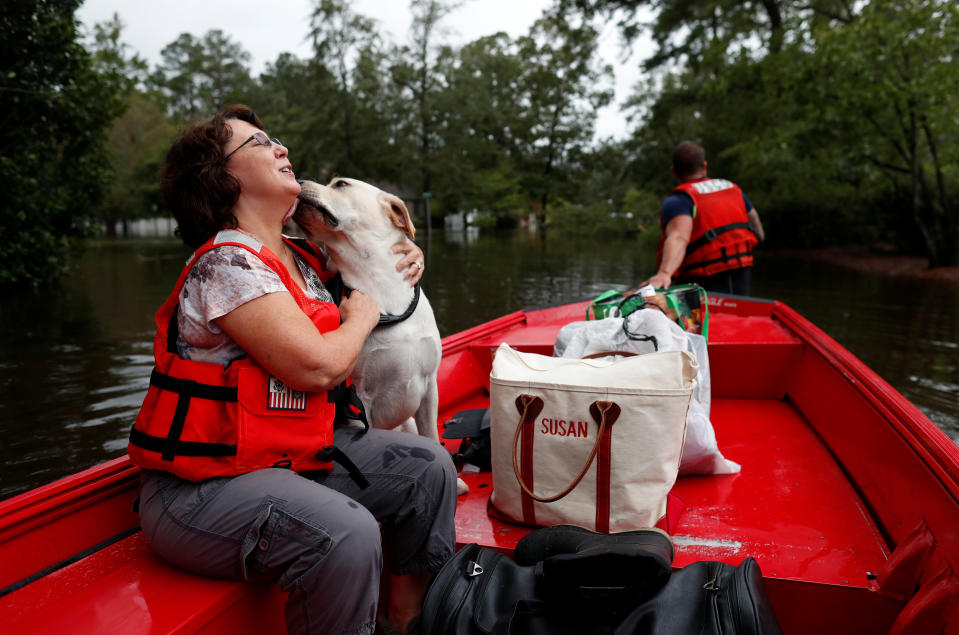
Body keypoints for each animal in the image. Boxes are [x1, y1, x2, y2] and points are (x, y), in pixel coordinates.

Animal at [294, 179, 470, 496]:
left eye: (340, 184)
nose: (298, 180)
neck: (382, 288)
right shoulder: (361, 400)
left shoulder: (429, 386)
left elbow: (432, 437)